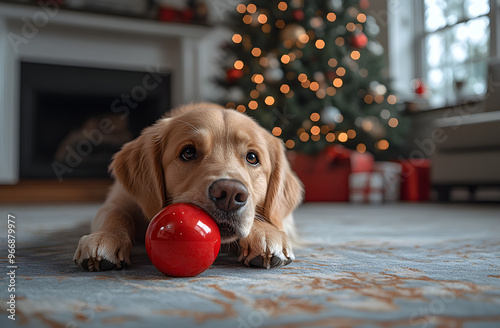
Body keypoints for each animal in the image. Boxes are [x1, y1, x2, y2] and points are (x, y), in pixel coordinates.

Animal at [72, 102, 302, 272]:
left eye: (252, 158)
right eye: (188, 152)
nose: (229, 193)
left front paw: (266, 233)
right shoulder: (117, 200)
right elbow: (117, 213)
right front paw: (105, 238)